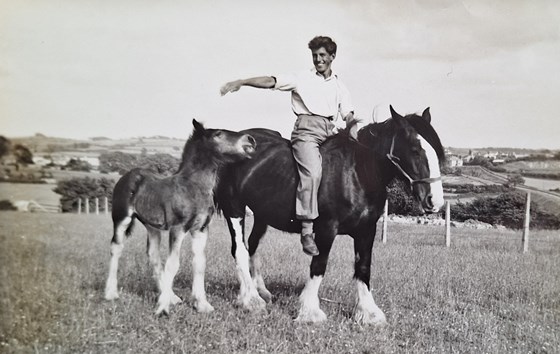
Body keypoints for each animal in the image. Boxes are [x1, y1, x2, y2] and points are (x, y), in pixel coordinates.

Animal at [103, 119, 256, 316]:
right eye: (218, 134)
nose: (250, 140)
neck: (193, 187)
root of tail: (129, 175)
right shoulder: (178, 228)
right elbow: (173, 263)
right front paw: (162, 308)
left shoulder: (201, 229)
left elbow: (199, 263)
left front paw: (202, 304)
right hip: (122, 218)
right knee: (116, 248)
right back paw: (111, 293)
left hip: (152, 225)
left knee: (152, 254)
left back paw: (172, 297)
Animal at [217, 106, 444, 324]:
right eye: (415, 150)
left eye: (437, 150)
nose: (435, 201)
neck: (357, 173)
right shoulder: (327, 228)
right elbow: (319, 265)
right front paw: (309, 311)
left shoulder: (367, 230)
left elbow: (363, 267)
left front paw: (368, 313)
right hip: (235, 209)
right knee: (239, 250)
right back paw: (250, 300)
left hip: (262, 215)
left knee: (252, 246)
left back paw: (261, 291)